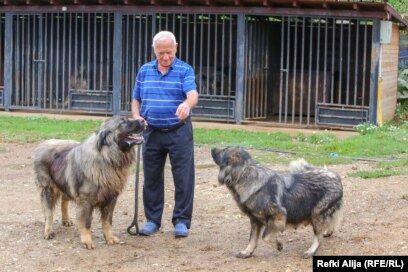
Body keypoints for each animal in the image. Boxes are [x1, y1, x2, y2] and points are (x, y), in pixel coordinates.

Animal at [33, 115, 145, 249]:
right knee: (49, 212)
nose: (143, 120)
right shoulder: (86, 201)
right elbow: (86, 223)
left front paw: (109, 237)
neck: (107, 158)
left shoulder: (111, 198)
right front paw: (87, 241)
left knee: (64, 202)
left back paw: (66, 220)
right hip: (49, 188)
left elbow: (107, 222)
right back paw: (48, 231)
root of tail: (44, 143)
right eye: (123, 122)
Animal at [212, 148, 342, 258]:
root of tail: (334, 176)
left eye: (222, 151)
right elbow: (252, 239)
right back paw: (328, 231)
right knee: (333, 220)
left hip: (316, 213)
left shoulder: (278, 214)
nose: (213, 149)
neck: (245, 177)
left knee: (318, 237)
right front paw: (247, 252)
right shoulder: (255, 220)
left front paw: (278, 245)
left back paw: (311, 251)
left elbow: (265, 237)